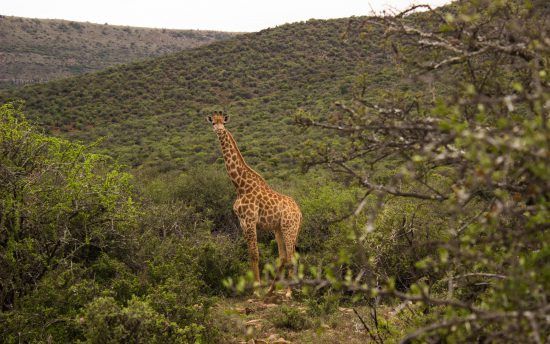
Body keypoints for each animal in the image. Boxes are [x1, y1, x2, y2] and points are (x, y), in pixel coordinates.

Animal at [207, 111, 302, 296]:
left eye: (223, 123)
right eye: (213, 123)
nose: (220, 130)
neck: (240, 185)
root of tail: (300, 212)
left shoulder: (250, 220)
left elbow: (255, 254)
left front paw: (257, 289)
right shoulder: (242, 222)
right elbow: (250, 254)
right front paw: (256, 288)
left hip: (290, 227)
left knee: (291, 255)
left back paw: (288, 292)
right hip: (279, 229)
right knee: (283, 256)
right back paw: (272, 290)